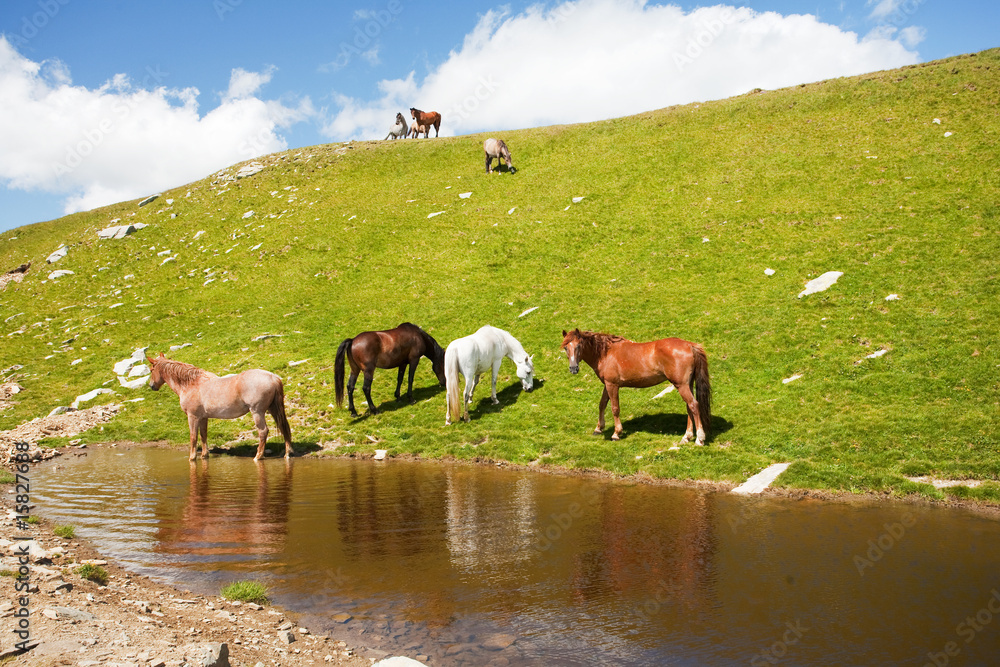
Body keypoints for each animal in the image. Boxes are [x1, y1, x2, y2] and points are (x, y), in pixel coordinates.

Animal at [146, 353, 294, 461]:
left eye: (152, 370)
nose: (152, 385)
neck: (191, 384)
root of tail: (273, 377)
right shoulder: (203, 417)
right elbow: (203, 435)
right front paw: (204, 455)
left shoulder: (193, 417)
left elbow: (193, 437)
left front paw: (192, 457)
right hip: (273, 409)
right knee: (283, 427)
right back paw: (287, 453)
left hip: (257, 412)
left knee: (263, 431)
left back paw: (258, 456)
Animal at [560, 329, 712, 445]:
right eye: (566, 347)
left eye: (579, 346)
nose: (573, 369)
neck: (606, 353)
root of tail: (690, 345)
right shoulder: (607, 384)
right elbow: (602, 404)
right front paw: (598, 428)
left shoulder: (612, 385)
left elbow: (615, 408)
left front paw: (616, 434)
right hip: (687, 385)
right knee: (689, 407)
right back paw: (686, 437)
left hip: (681, 385)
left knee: (693, 405)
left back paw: (699, 439)